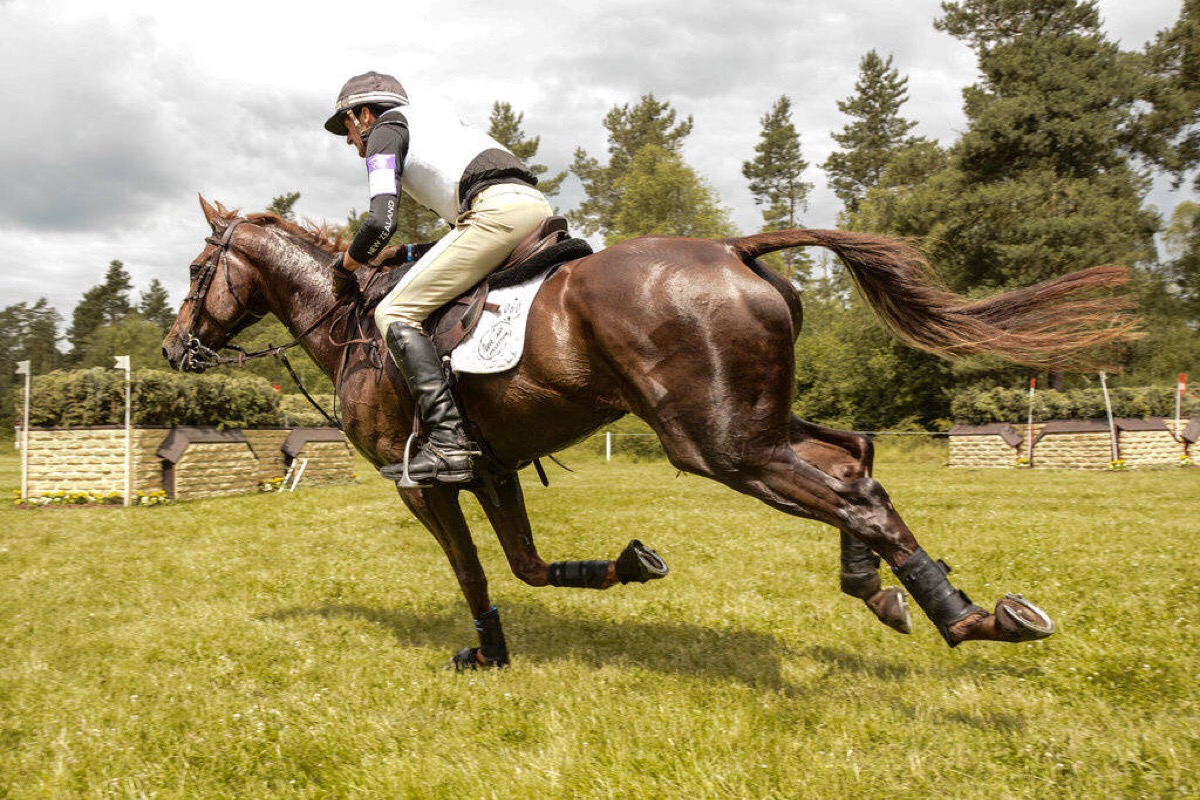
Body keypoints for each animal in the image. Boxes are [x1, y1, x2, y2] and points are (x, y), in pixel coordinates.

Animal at [162, 199, 1132, 671]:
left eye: (199, 268)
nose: (175, 348)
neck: (355, 323)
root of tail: (735, 249)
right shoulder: (493, 468)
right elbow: (525, 564)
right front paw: (627, 566)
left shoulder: (422, 482)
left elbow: (474, 570)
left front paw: (488, 653)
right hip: (753, 420)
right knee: (857, 460)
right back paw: (892, 595)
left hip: (719, 445)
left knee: (852, 494)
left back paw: (968, 620)